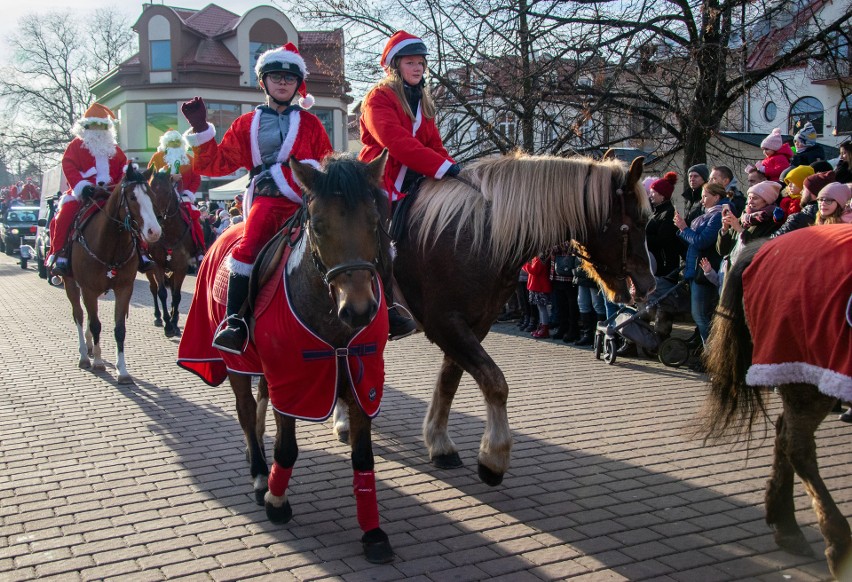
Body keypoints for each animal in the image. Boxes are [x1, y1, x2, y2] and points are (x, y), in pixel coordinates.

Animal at [62, 167, 162, 386]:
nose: (154, 231)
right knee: (79, 315)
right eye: (132, 197)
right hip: (71, 283)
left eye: (152, 195)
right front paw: (98, 362)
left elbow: (119, 329)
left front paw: (122, 370)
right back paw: (84, 355)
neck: (110, 245)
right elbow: (96, 324)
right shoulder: (89, 289)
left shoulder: (124, 288)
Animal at [146, 170, 194, 338]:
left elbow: (177, 294)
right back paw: (158, 317)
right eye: (148, 191)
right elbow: (162, 293)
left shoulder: (181, 267)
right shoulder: (158, 264)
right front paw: (168, 325)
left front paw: (174, 322)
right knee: (153, 289)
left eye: (167, 192)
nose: (155, 220)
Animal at [179, 153, 396, 564]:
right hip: (237, 364)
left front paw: (374, 533)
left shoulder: (363, 381)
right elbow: (287, 447)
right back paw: (259, 473)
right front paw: (276, 501)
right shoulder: (293, 380)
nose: (359, 310)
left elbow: (363, 457)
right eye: (319, 225)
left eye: (375, 219)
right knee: (247, 412)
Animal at [386, 152, 652, 488]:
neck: (477, 235)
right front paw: (494, 458)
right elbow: (495, 382)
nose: (649, 284)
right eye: (639, 222)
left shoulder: (475, 324)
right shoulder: (444, 323)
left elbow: (450, 382)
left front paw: (440, 443)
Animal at [700, 226, 852, 580]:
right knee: (795, 443)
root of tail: (769, 245)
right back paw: (831, 544)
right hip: (805, 362)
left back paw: (788, 526)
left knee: (787, 435)